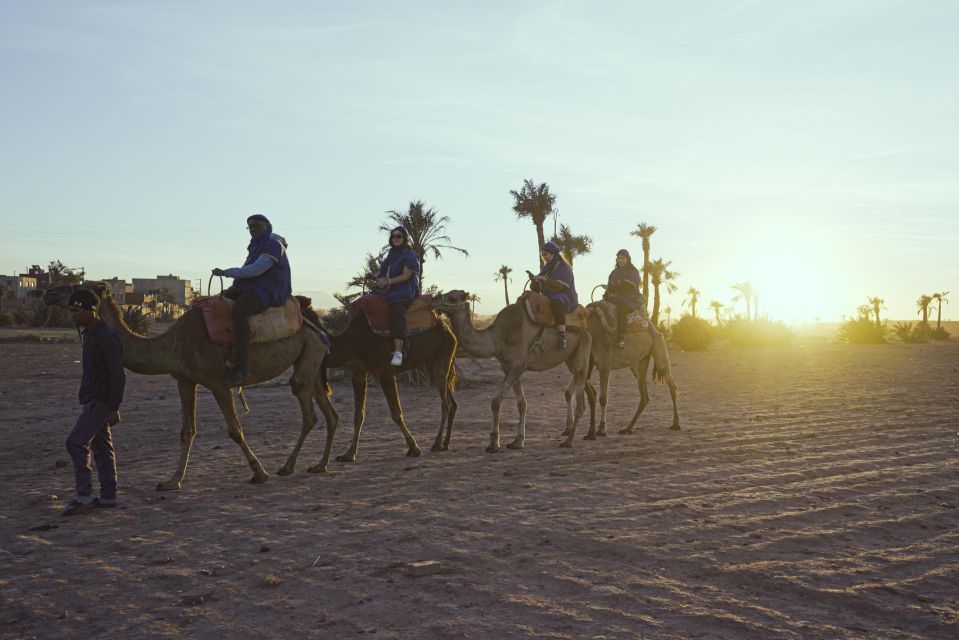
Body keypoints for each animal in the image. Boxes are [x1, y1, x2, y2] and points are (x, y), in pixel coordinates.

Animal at [42, 282, 342, 488]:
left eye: (84, 288)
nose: (49, 292)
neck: (174, 343)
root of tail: (311, 316)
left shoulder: (219, 382)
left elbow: (235, 430)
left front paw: (259, 472)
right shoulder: (185, 381)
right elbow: (187, 432)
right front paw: (172, 481)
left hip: (308, 354)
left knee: (308, 408)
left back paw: (288, 467)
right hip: (312, 356)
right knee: (329, 411)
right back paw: (320, 465)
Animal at [284, 298, 458, 470]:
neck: (351, 343)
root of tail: (444, 325)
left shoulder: (385, 372)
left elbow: (396, 413)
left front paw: (414, 448)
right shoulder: (358, 373)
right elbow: (358, 414)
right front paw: (349, 454)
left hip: (443, 355)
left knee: (445, 403)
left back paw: (437, 444)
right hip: (432, 362)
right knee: (451, 401)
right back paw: (446, 443)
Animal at [430, 288, 592, 450]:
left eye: (452, 298)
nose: (433, 300)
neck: (496, 338)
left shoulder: (518, 365)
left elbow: (496, 401)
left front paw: (494, 443)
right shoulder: (508, 367)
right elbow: (521, 404)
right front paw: (518, 441)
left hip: (583, 343)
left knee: (580, 398)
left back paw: (570, 440)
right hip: (570, 356)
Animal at [580, 302, 680, 438]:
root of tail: (654, 328)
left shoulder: (605, 364)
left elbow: (603, 398)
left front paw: (601, 430)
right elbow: (591, 394)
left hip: (659, 347)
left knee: (671, 385)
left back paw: (676, 424)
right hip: (639, 363)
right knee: (644, 396)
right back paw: (628, 428)